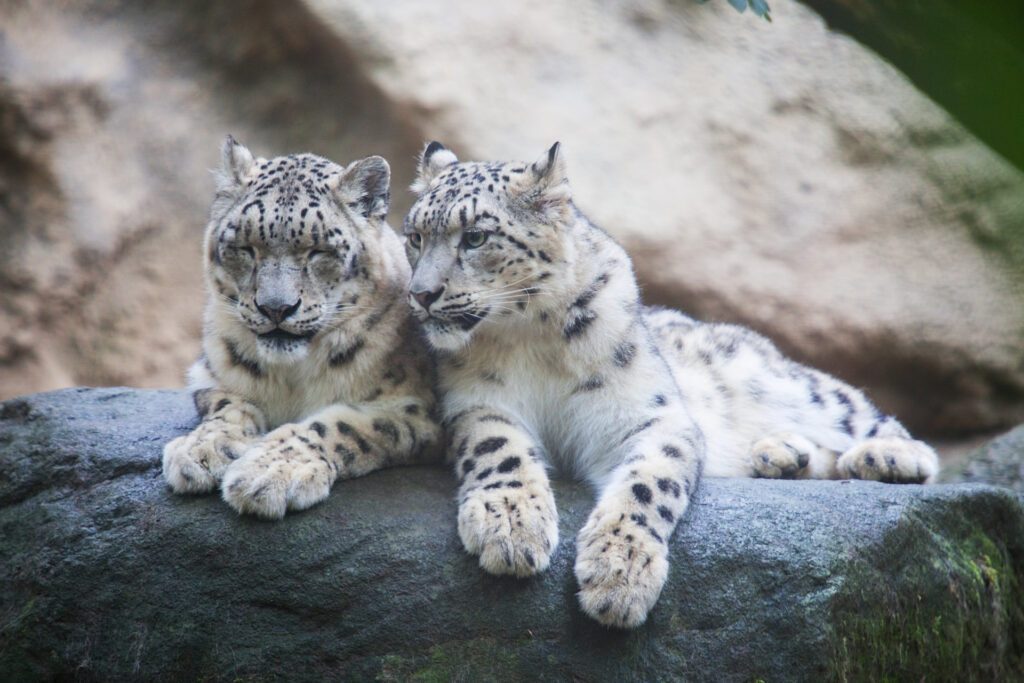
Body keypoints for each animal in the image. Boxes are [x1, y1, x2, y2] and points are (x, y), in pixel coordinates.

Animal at [163, 137, 440, 518]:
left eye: (319, 251)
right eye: (245, 248)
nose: (276, 307)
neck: (292, 377)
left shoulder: (414, 406)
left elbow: (338, 425)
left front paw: (269, 473)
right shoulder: (212, 373)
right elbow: (226, 405)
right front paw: (201, 450)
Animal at [397, 140, 937, 630]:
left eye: (475, 237)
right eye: (415, 237)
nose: (420, 293)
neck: (531, 337)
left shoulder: (649, 414)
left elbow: (649, 481)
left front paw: (618, 572)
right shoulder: (476, 404)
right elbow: (498, 448)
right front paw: (509, 525)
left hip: (788, 384)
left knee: (867, 415)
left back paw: (886, 456)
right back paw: (781, 454)